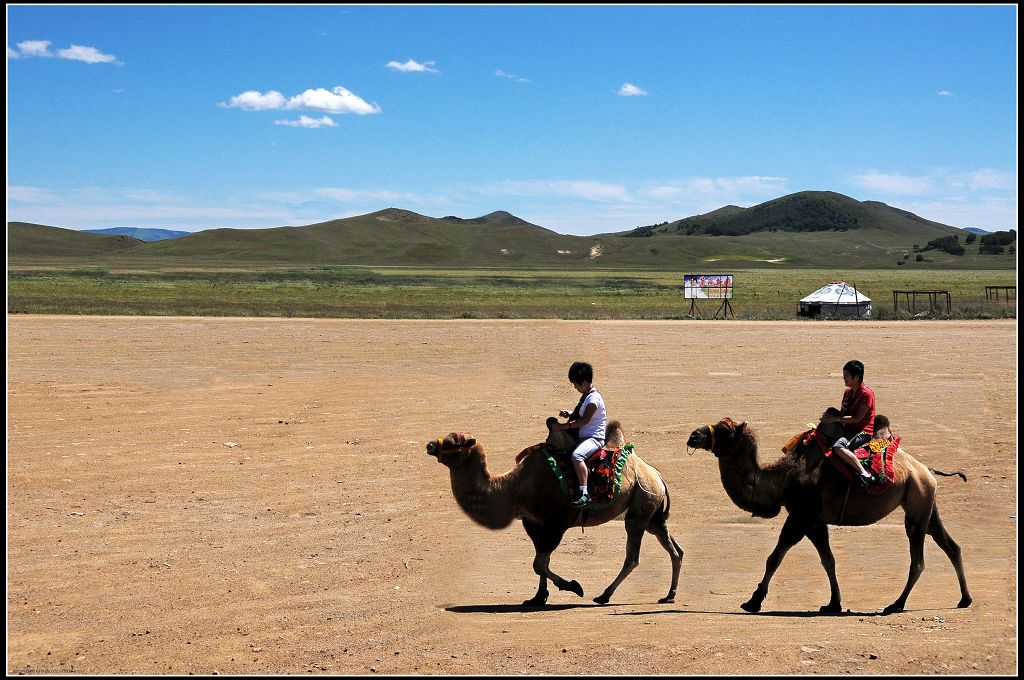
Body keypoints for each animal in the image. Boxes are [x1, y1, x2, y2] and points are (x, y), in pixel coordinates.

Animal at [428, 419, 684, 606]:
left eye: (452, 442)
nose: (430, 445)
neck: (514, 488)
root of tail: (657, 476)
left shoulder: (556, 522)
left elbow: (539, 563)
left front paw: (574, 586)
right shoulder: (534, 523)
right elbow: (542, 560)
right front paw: (537, 598)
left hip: (639, 510)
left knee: (632, 557)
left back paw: (604, 595)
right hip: (652, 514)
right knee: (675, 550)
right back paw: (668, 595)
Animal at [688, 417, 966, 614]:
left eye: (724, 429)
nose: (694, 435)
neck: (781, 479)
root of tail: (927, 470)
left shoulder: (800, 516)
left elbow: (774, 558)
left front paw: (753, 601)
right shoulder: (815, 522)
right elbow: (828, 560)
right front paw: (833, 604)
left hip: (917, 504)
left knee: (917, 559)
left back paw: (895, 605)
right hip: (925, 502)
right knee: (950, 545)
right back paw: (965, 599)